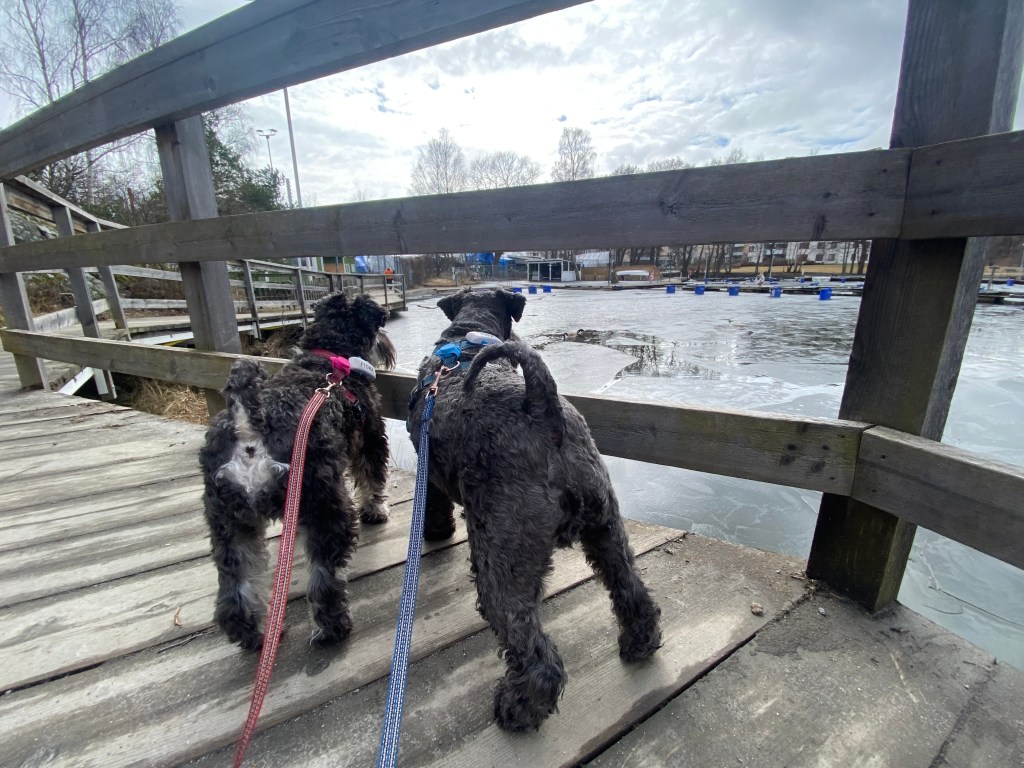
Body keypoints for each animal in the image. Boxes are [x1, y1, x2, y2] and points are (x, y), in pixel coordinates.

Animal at [200, 292, 395, 650]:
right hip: (324, 505)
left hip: (228, 520)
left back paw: (251, 632)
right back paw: (334, 627)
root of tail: (250, 424)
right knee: (324, 577)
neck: (329, 355)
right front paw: (376, 509)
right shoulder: (372, 437)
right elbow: (372, 476)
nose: (387, 346)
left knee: (236, 587)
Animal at [407, 287, 662, 732]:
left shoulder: (429, 468)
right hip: (607, 529)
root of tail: (544, 410)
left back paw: (519, 707)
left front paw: (436, 531)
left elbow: (434, 505)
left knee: (532, 647)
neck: (465, 338)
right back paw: (639, 643)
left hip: (503, 562)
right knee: (631, 589)